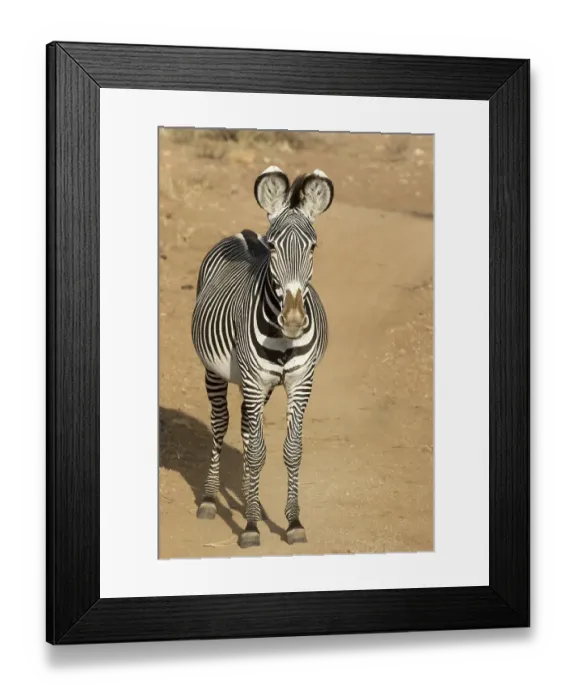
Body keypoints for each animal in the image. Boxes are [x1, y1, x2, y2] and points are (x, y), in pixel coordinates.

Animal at [191, 165, 334, 548]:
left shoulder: (301, 382)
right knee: (221, 423)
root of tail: (244, 233)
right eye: (273, 247)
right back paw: (209, 499)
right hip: (216, 372)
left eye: (313, 246)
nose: (294, 320)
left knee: (244, 426)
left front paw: (293, 522)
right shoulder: (254, 380)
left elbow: (290, 449)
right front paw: (252, 526)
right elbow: (255, 453)